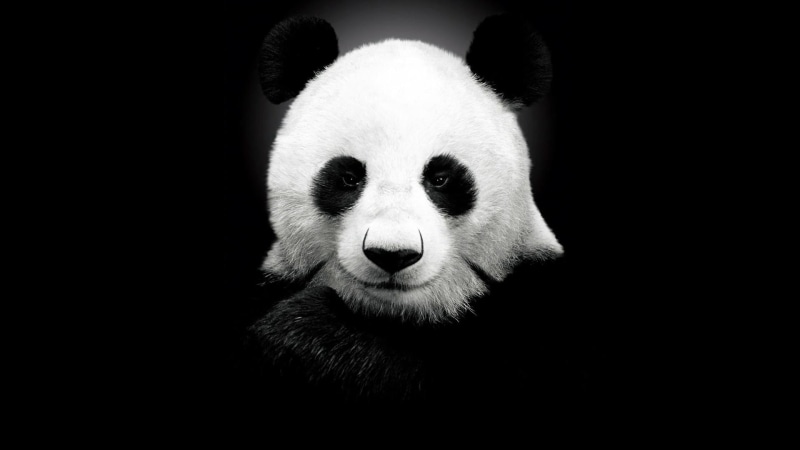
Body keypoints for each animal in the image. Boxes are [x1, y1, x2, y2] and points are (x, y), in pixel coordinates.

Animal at [239, 14, 587, 415]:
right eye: (348, 177)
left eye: (441, 178)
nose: (393, 254)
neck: (399, 316)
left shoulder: (539, 308)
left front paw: (303, 332)